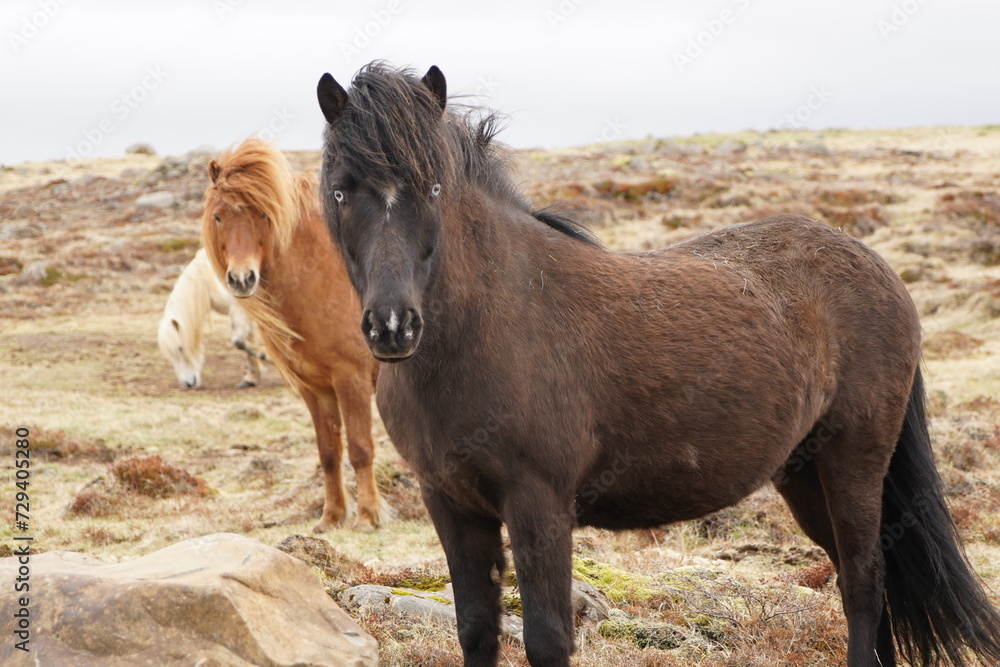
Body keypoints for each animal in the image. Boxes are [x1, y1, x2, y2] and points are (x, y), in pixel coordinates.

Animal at [157, 247, 267, 389]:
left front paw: (265, 355)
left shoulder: (239, 310)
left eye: (181, 348)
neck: (209, 277)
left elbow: (239, 341)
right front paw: (251, 378)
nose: (188, 383)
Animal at [201, 138, 382, 531]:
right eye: (219, 216)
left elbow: (360, 448)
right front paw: (331, 518)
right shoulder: (315, 389)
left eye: (262, 215)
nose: (242, 279)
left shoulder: (353, 380)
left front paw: (367, 517)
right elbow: (329, 452)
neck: (326, 277)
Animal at [316, 62, 1000, 667]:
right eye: (341, 189)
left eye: (433, 188)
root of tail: (879, 268)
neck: (492, 323)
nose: (393, 326)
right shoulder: (451, 505)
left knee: (862, 581)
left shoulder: (539, 504)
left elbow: (547, 641)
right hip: (804, 473)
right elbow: (477, 632)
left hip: (853, 458)